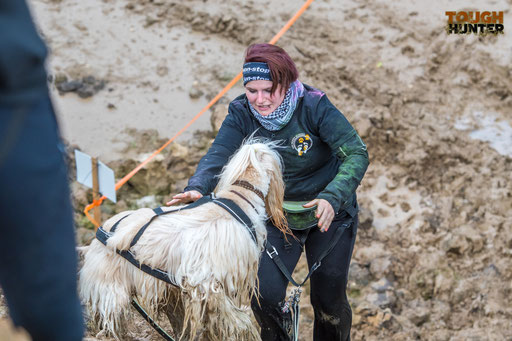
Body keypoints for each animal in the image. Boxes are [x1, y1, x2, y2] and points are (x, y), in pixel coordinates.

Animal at [79, 139, 288, 338]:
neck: (238, 199)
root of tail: (96, 239)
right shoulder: (207, 282)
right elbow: (231, 317)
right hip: (112, 287)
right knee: (108, 316)